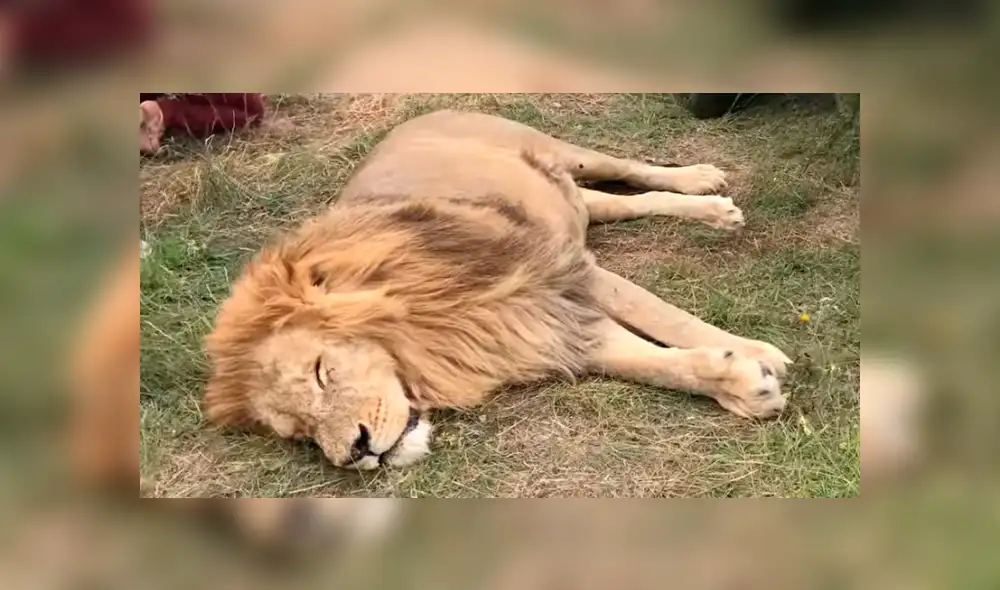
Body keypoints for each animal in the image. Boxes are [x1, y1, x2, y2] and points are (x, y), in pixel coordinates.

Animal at [203, 109, 793, 471]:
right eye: (300, 433)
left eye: (322, 372)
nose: (356, 454)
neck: (425, 331)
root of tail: (413, 117)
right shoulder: (540, 328)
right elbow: (658, 364)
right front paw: (744, 386)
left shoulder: (563, 271)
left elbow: (667, 317)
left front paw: (760, 353)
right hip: (567, 199)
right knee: (623, 203)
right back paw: (710, 207)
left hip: (565, 151)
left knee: (630, 168)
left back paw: (703, 183)